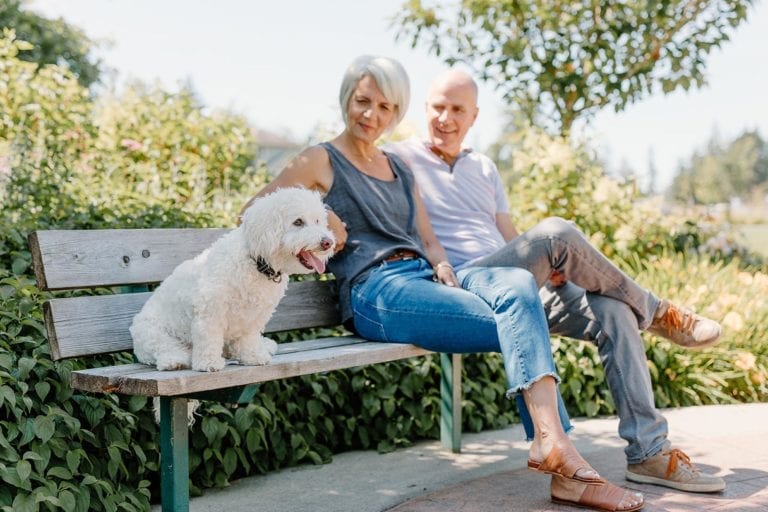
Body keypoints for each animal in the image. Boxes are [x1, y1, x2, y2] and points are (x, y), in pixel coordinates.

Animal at [130, 188, 334, 372]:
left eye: (318, 220)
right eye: (298, 222)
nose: (328, 242)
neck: (257, 262)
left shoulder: (254, 316)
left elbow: (247, 338)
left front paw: (252, 356)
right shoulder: (210, 310)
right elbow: (209, 337)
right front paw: (208, 363)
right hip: (150, 332)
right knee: (163, 348)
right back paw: (174, 360)